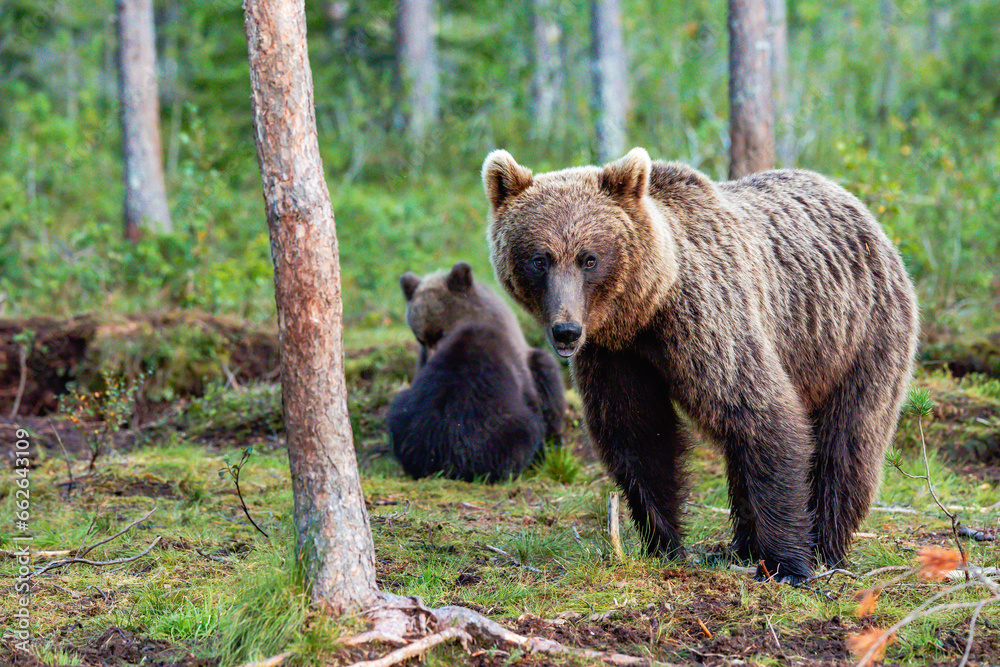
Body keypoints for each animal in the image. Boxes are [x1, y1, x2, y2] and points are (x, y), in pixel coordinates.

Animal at [482, 147, 919, 583]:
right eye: (540, 259)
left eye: (589, 259)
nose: (567, 331)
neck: (645, 311)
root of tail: (854, 204)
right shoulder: (615, 357)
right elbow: (640, 436)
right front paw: (664, 545)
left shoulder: (708, 323)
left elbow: (762, 415)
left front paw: (787, 564)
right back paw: (739, 548)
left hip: (857, 335)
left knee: (848, 439)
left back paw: (826, 546)